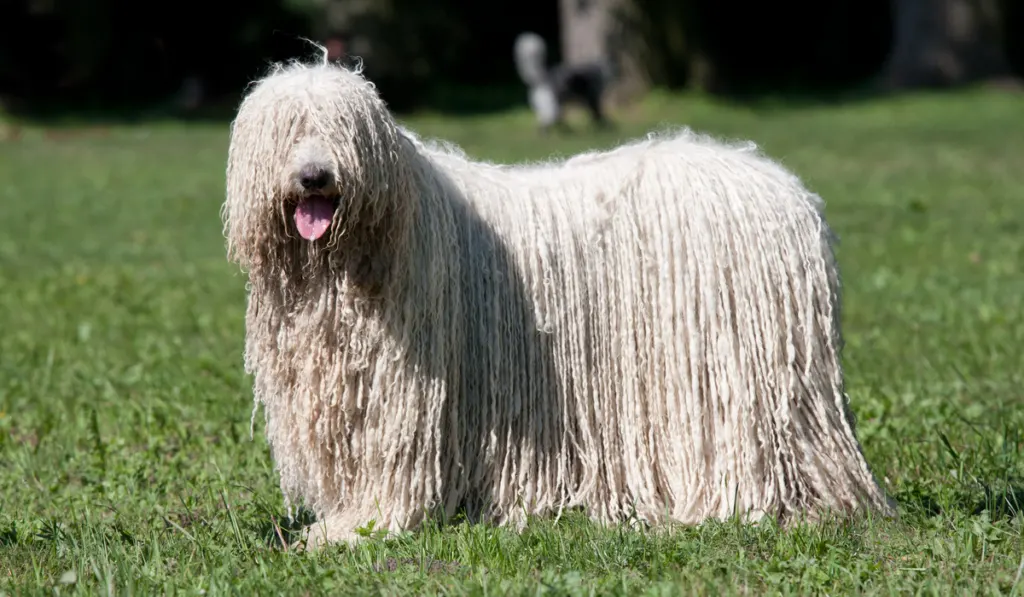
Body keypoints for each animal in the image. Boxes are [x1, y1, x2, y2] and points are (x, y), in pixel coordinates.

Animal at [220, 53, 892, 548]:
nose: (315, 176)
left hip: (736, 377)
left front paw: (354, 529)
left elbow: (392, 467)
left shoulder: (403, 397)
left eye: (344, 129)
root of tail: (791, 194)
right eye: (286, 129)